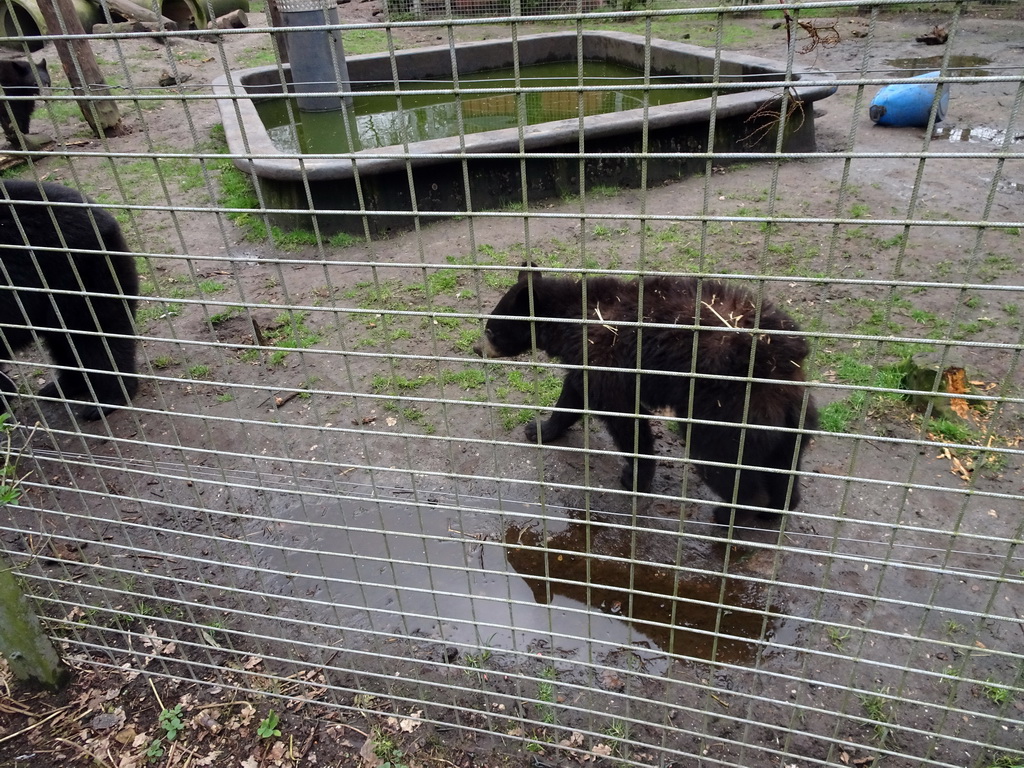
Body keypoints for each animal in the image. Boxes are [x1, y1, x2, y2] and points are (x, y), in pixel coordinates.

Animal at [475, 268, 819, 528]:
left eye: (490, 329)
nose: (477, 349)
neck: (574, 317)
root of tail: (782, 366)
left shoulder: (606, 360)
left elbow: (624, 418)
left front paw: (635, 478)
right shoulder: (586, 360)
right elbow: (572, 395)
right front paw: (540, 429)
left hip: (725, 409)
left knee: (720, 457)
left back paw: (731, 514)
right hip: (793, 415)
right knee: (783, 465)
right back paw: (776, 508)